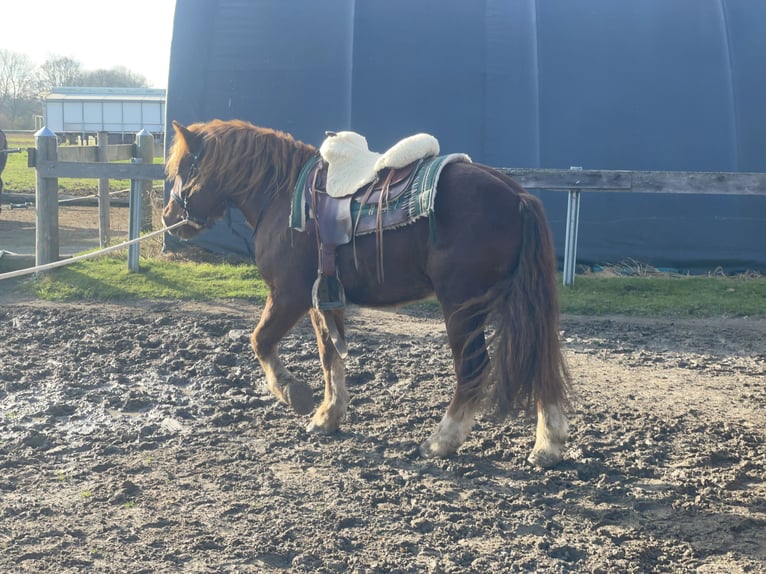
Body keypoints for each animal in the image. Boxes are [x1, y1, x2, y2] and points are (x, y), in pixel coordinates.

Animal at [160, 120, 568, 468]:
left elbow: (260, 340)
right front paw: (328, 417)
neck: (282, 195)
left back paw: (441, 441)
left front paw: (293, 393)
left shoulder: (289, 295)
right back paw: (548, 445)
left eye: (183, 169)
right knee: (543, 360)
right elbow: (330, 356)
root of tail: (517, 194)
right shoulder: (323, 299)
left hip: (461, 307)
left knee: (473, 368)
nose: (168, 217)